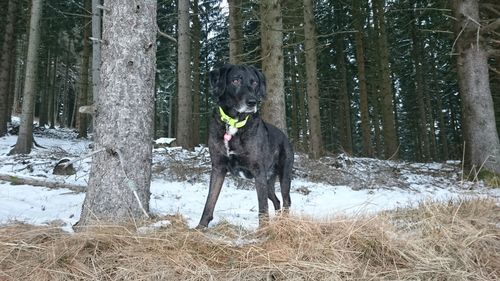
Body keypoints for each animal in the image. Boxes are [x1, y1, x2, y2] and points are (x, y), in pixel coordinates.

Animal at [197, 63, 294, 228]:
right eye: (236, 80)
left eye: (254, 82)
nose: (252, 102)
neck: (234, 123)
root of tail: (285, 138)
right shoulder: (218, 167)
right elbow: (210, 201)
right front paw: (200, 227)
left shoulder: (258, 171)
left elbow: (263, 208)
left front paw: (263, 231)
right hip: (268, 182)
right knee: (277, 200)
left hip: (283, 175)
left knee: (286, 200)